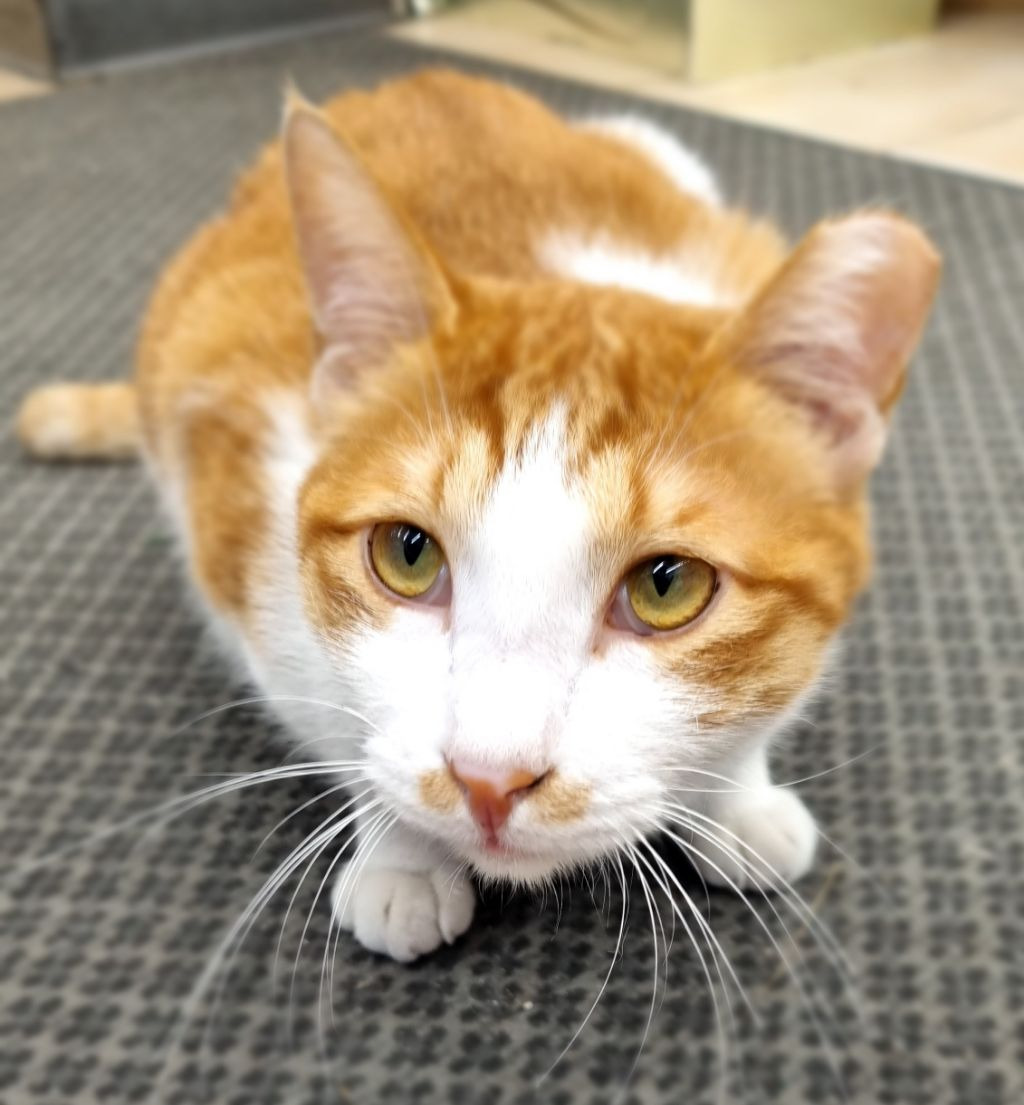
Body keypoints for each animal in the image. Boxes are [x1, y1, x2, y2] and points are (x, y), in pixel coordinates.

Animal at [16, 69, 939, 963]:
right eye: (407, 554)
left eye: (667, 585)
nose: (490, 780)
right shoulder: (231, 510)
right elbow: (342, 719)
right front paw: (401, 857)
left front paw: (737, 794)